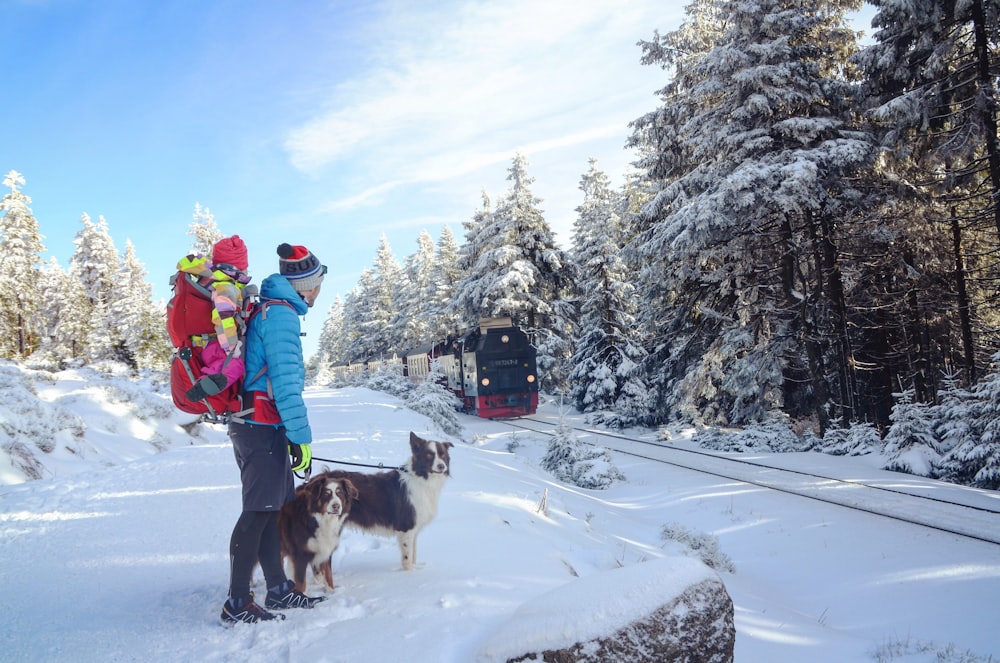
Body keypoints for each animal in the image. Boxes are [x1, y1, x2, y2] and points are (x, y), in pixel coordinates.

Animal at [328, 434, 454, 572]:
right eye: (429, 455)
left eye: (442, 455)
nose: (442, 466)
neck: (420, 479)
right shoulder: (407, 527)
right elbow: (407, 557)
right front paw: (409, 574)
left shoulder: (414, 529)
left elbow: (413, 554)